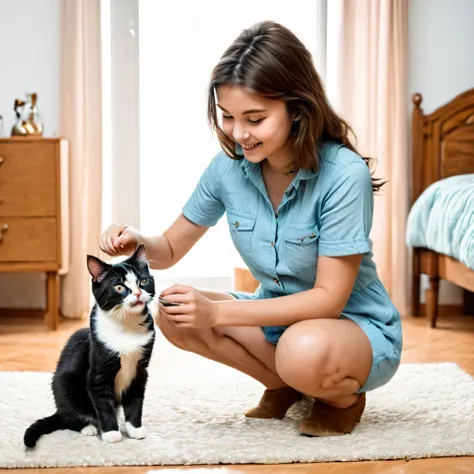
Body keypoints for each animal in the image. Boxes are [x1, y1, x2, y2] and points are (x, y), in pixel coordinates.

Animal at [23, 244, 156, 448]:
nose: (138, 293)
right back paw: (88, 427)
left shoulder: (140, 370)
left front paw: (135, 429)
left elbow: (135, 401)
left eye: (143, 281)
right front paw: (111, 433)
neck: (126, 325)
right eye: (119, 287)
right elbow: (103, 404)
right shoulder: (98, 371)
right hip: (64, 385)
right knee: (68, 417)